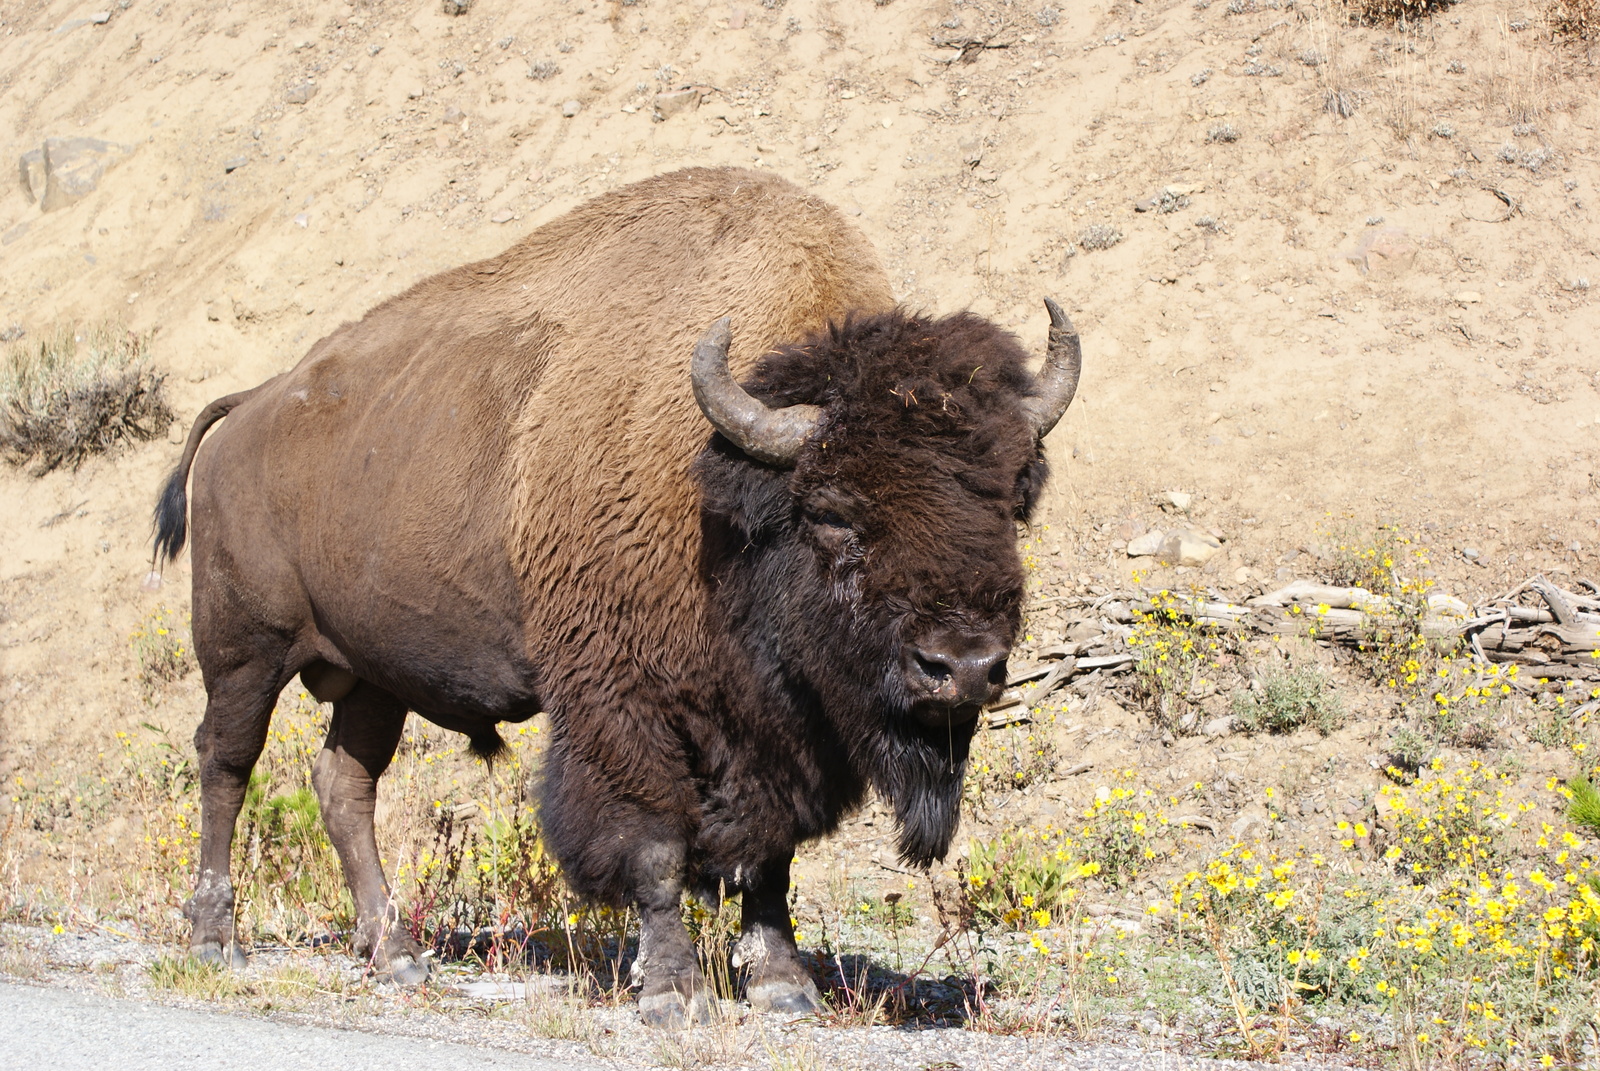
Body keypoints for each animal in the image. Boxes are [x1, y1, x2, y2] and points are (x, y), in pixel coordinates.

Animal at [152, 164, 1075, 1018]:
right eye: (836, 514)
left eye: (1011, 500)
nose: (961, 667)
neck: (721, 492)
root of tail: (250, 407)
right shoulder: (622, 702)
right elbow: (655, 845)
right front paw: (671, 991)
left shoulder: (774, 732)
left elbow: (770, 855)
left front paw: (783, 986)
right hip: (245, 652)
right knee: (226, 763)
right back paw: (216, 940)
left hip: (373, 675)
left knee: (344, 786)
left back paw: (398, 953)